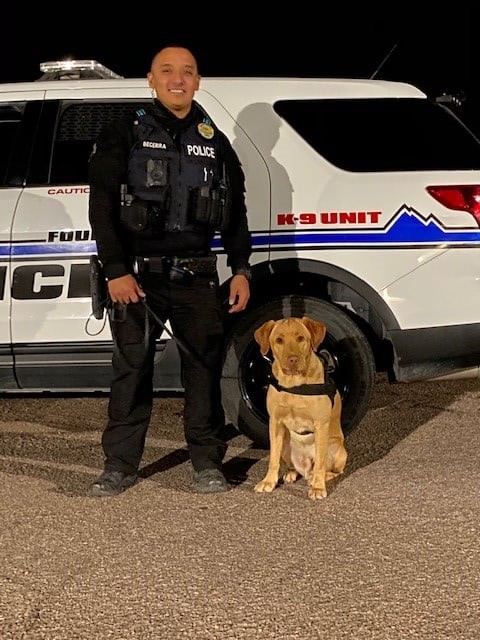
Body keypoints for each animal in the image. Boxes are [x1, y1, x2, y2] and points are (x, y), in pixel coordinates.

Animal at [253, 316, 346, 500]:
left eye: (301, 338)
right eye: (279, 340)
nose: (293, 359)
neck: (294, 385)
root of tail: (304, 467)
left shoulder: (321, 424)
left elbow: (320, 463)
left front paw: (318, 487)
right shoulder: (275, 422)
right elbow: (273, 459)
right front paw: (268, 481)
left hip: (336, 447)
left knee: (331, 469)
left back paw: (319, 478)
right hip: (285, 444)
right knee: (291, 465)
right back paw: (291, 473)